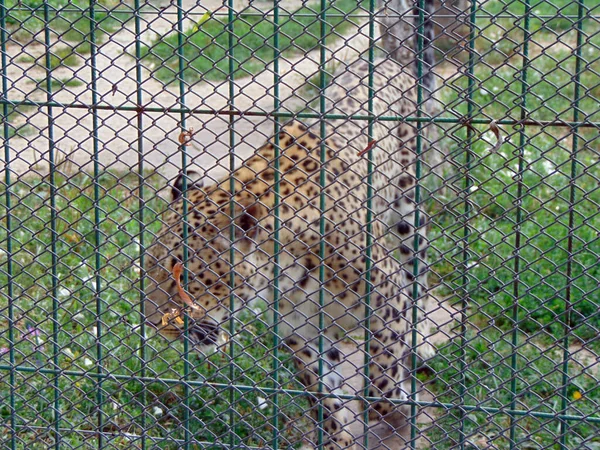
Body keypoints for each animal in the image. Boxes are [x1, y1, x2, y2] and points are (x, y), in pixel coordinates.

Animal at [145, 1, 436, 448]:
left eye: (184, 274)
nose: (153, 324)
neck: (285, 276)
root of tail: (390, 60)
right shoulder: (299, 333)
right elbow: (323, 397)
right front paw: (336, 440)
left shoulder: (386, 297)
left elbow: (381, 383)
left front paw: (399, 407)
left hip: (409, 212)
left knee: (418, 276)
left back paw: (418, 345)